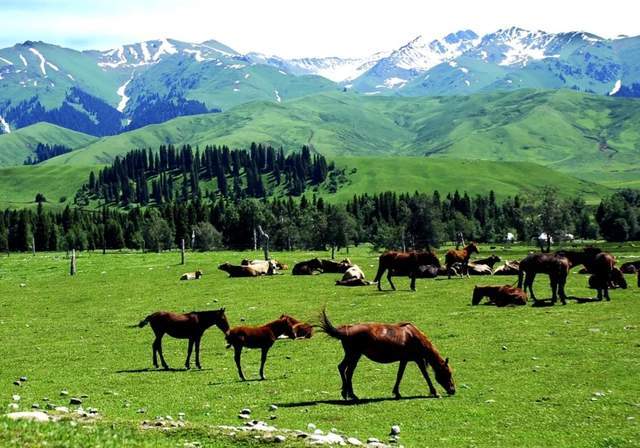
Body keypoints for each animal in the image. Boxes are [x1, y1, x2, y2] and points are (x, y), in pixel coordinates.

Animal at [320, 308, 456, 400]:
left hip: (355, 355)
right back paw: (349, 394)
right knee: (344, 369)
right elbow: (424, 375)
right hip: (353, 354)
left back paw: (349, 393)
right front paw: (435, 392)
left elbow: (402, 375)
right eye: (448, 373)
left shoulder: (408, 359)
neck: (414, 336)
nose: (453, 390)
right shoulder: (414, 359)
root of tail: (345, 330)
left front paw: (397, 392)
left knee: (347, 370)